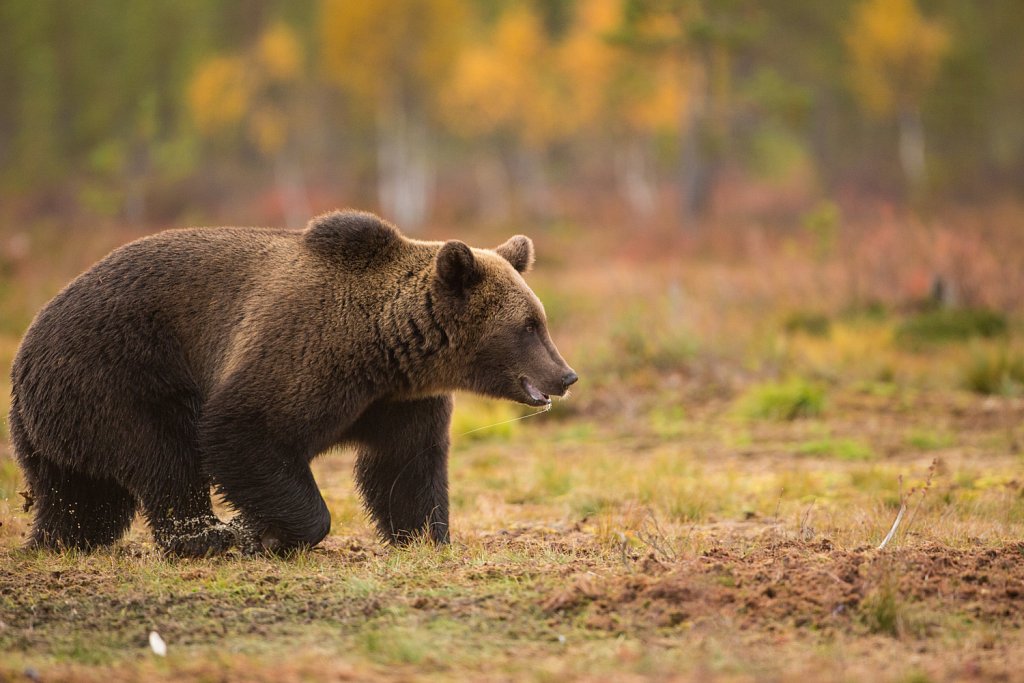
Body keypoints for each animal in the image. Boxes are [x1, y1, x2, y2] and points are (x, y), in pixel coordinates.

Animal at [9, 210, 577, 557]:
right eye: (528, 326)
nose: (566, 375)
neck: (385, 347)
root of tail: (27, 344)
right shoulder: (303, 353)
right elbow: (245, 432)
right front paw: (263, 532)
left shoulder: (396, 401)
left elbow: (405, 468)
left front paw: (426, 536)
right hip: (116, 374)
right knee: (163, 459)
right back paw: (206, 536)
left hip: (56, 424)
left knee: (82, 497)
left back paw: (58, 538)